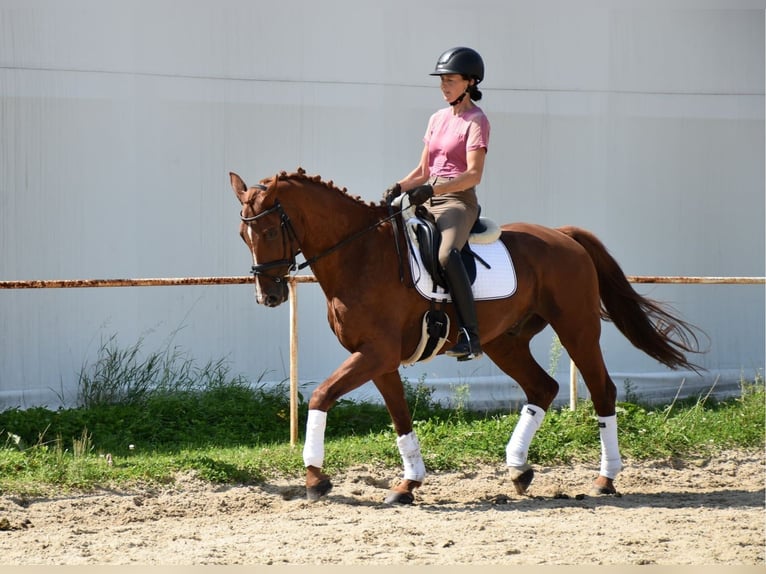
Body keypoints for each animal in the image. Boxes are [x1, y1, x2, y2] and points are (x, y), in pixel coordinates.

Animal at [231, 168, 704, 504]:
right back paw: (518, 469)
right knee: (542, 387)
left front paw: (315, 478)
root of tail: (563, 236)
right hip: (504, 341)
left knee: (602, 390)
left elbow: (321, 394)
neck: (359, 256)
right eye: (243, 234)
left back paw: (605, 479)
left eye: (269, 230)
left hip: (577, 329)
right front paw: (408, 484)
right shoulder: (378, 359)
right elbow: (400, 417)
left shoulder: (375, 354)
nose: (268, 295)